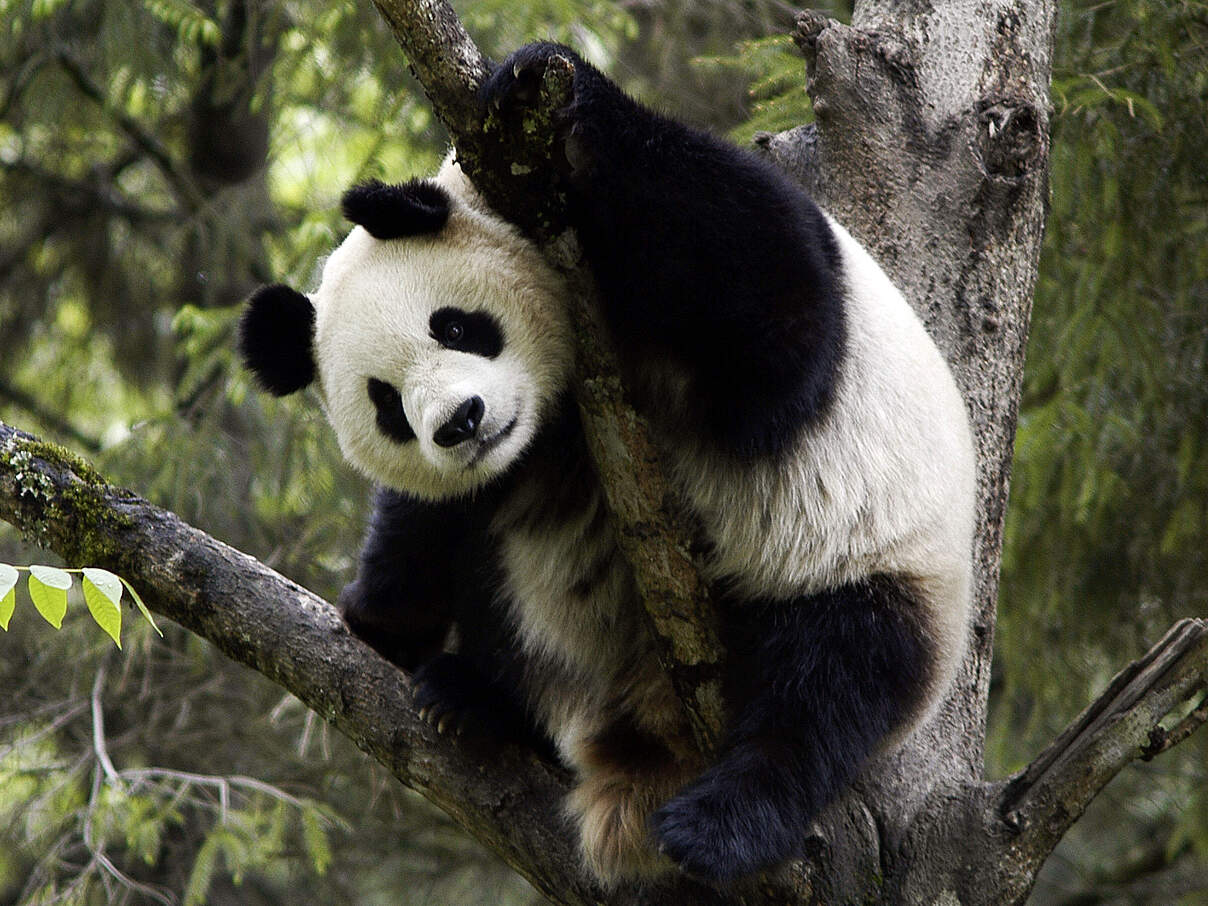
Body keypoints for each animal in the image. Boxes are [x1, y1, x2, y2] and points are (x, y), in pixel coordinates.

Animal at [238, 42, 977, 886]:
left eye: (455, 326)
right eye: (386, 405)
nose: (460, 424)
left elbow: (775, 326)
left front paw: (543, 85)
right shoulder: (507, 461)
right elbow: (429, 520)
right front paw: (380, 615)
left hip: (873, 562)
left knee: (832, 684)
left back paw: (721, 824)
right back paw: (476, 701)